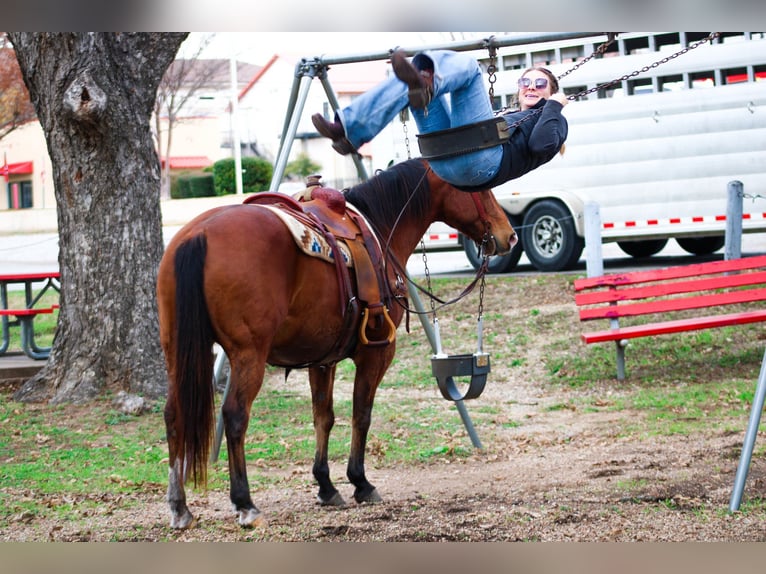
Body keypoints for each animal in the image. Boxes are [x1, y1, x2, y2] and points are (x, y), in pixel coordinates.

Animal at [157, 159, 520, 532]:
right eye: (478, 188)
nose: (509, 235)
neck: (380, 229)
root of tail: (198, 235)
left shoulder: (321, 359)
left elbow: (324, 417)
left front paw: (326, 485)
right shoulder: (376, 353)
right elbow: (362, 414)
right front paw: (360, 481)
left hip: (176, 352)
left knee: (173, 416)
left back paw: (179, 506)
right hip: (248, 356)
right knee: (234, 415)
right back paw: (245, 503)